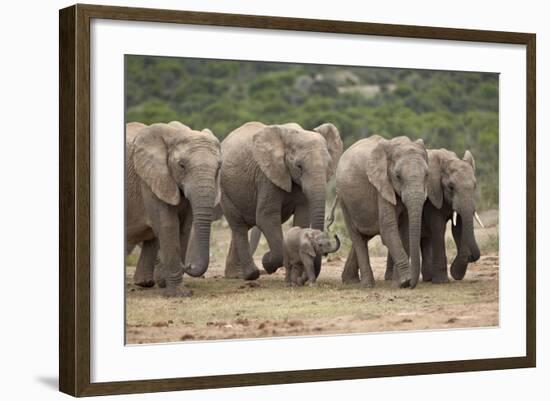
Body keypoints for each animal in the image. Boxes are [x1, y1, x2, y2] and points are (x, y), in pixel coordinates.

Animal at [127, 120, 222, 296]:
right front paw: (179, 294)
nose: (188, 265)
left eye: (219, 167)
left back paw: (145, 283)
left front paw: (167, 284)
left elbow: (184, 227)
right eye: (182, 166)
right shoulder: (150, 179)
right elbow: (168, 225)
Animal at [219, 120, 340, 280]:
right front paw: (267, 262)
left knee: (243, 226)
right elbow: (266, 217)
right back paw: (251, 274)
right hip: (224, 190)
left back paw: (236, 275)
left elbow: (302, 217)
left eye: (328, 166)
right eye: (299, 166)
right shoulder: (267, 176)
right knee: (239, 226)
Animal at [336, 134, 432, 288]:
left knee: (364, 235)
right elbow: (388, 228)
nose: (413, 284)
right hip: (343, 199)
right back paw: (367, 285)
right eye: (397, 176)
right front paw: (405, 281)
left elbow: (404, 230)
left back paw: (350, 280)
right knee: (356, 235)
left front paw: (399, 283)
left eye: (427, 175)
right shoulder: (381, 185)